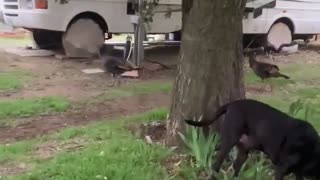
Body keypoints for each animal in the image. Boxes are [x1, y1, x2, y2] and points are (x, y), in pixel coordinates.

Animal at [185, 99, 320, 179]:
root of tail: (232, 104)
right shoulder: (281, 169)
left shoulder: (298, 172)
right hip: (229, 142)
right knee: (215, 165)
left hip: (243, 152)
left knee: (236, 167)